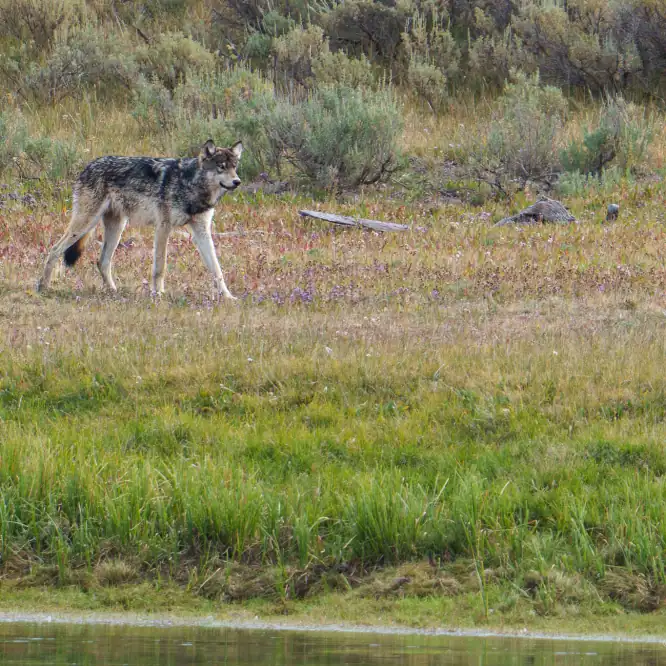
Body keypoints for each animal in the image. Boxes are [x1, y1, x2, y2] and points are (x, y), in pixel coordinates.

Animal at [37, 139, 243, 299]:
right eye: (221, 167)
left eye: (234, 167)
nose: (237, 182)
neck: (191, 184)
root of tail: (88, 166)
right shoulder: (163, 228)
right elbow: (160, 267)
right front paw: (158, 294)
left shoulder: (202, 233)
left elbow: (217, 270)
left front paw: (228, 297)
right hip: (85, 224)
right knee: (54, 250)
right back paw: (43, 287)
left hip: (116, 228)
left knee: (102, 261)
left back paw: (114, 291)